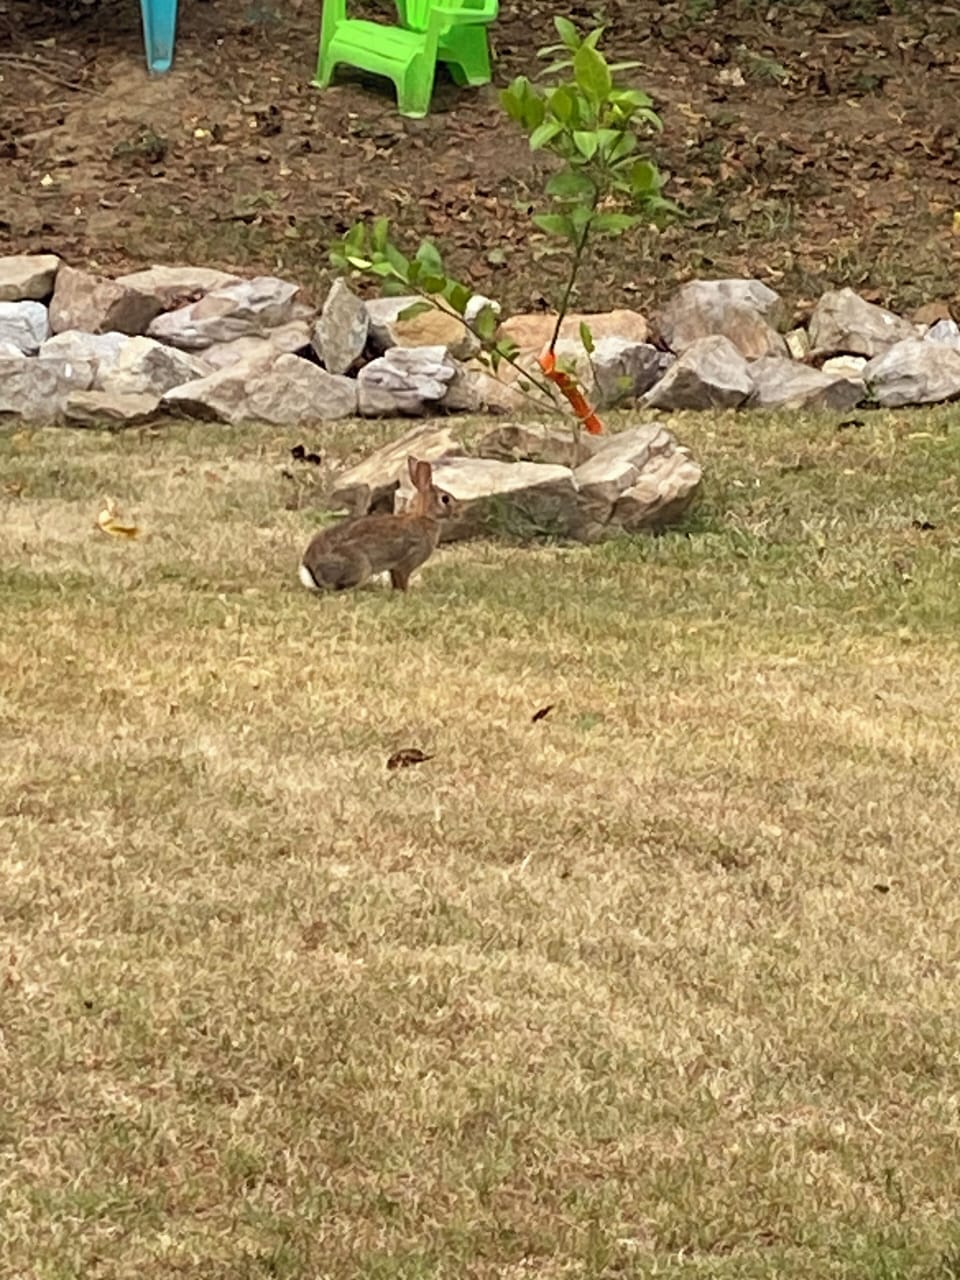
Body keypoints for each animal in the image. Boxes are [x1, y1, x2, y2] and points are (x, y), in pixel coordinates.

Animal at [298, 456, 459, 593]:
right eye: (445, 499)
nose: (457, 512)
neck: (424, 518)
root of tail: (311, 571)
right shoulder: (406, 563)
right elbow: (402, 580)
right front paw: (407, 594)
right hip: (360, 565)